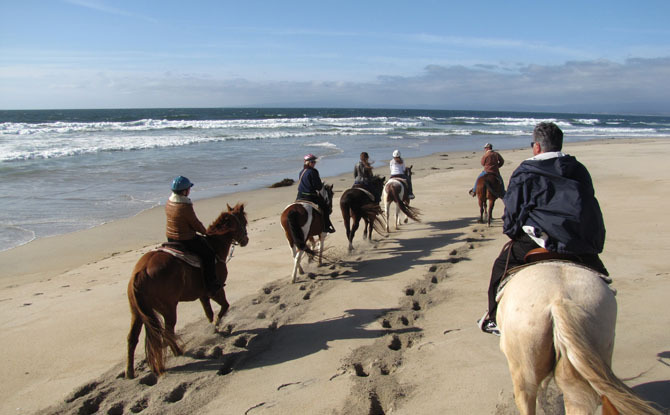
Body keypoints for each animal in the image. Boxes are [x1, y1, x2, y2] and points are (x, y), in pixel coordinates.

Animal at [126, 203, 249, 378]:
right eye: (243, 222)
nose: (245, 240)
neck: (215, 246)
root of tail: (141, 271)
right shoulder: (216, 290)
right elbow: (224, 306)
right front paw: (216, 325)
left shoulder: (203, 295)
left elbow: (209, 313)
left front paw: (213, 328)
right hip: (168, 309)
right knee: (168, 332)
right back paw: (178, 351)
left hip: (136, 313)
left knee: (132, 339)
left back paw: (130, 372)